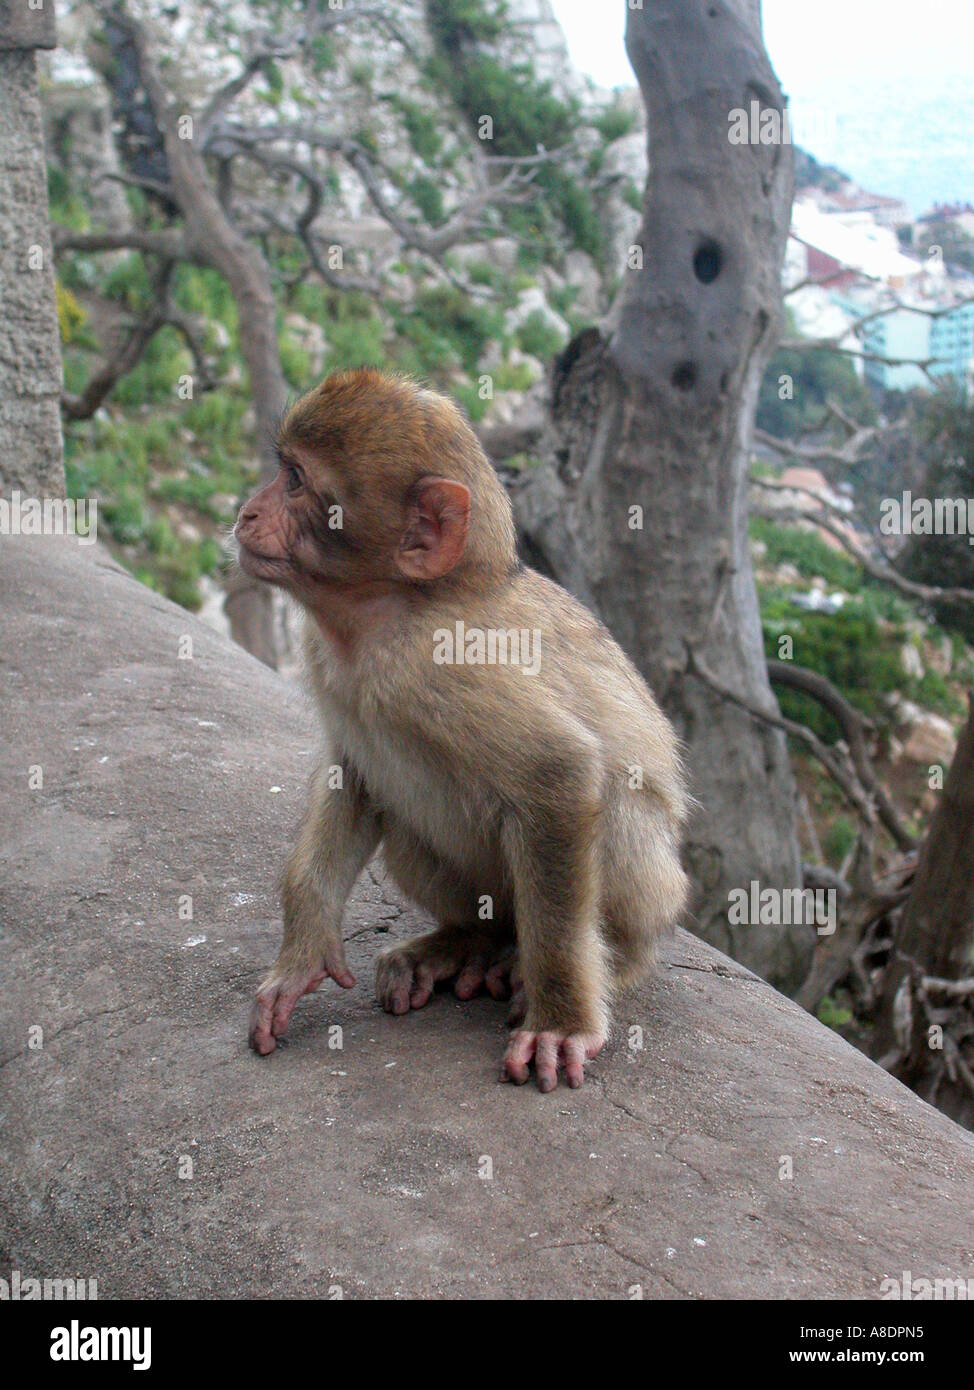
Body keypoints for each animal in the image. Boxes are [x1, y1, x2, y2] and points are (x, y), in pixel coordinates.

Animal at [234, 369, 686, 1095]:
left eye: (296, 481)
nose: (248, 511)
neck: (389, 614)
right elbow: (352, 774)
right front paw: (301, 954)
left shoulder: (448, 666)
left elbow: (561, 774)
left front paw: (561, 1020)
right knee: (405, 821)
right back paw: (468, 944)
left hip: (653, 897)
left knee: (614, 815)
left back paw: (594, 967)